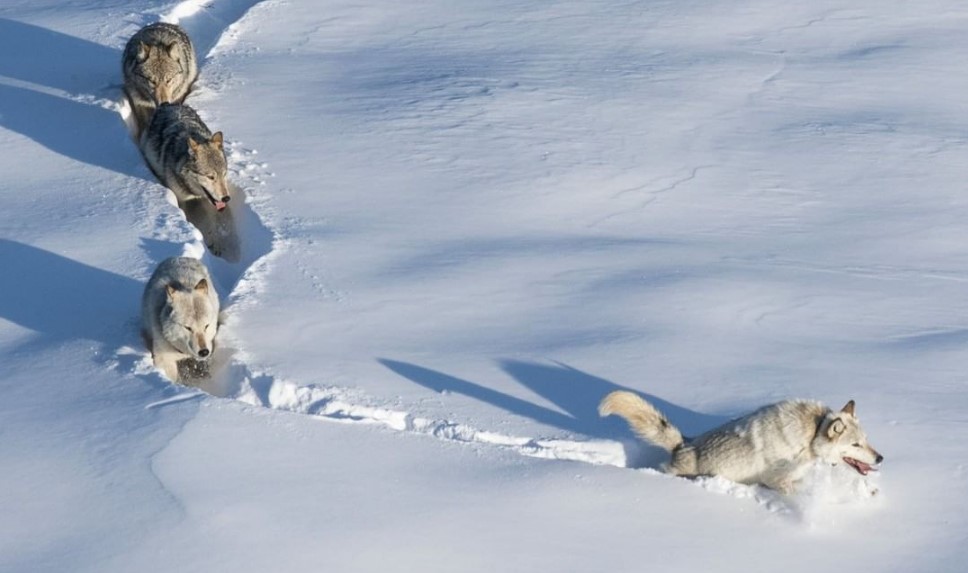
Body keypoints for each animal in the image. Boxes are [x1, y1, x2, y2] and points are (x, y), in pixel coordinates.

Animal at [596, 392, 884, 494]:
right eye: (856, 445)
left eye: (865, 441)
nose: (880, 458)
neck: (810, 437)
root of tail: (683, 443)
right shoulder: (776, 480)